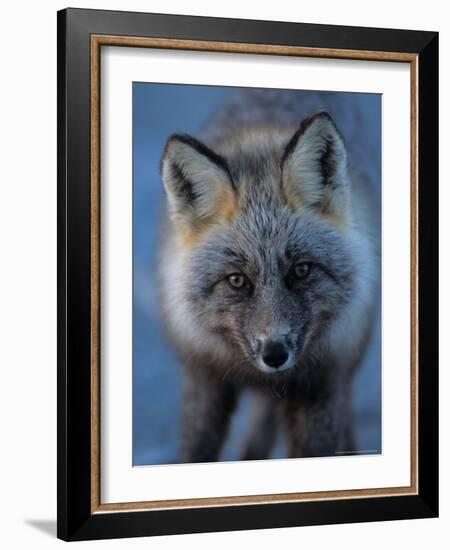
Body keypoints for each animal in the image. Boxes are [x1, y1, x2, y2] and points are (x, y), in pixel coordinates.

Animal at [158, 88, 380, 464]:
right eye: (236, 280)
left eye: (301, 270)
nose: (274, 354)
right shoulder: (204, 378)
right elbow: (197, 451)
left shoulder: (322, 384)